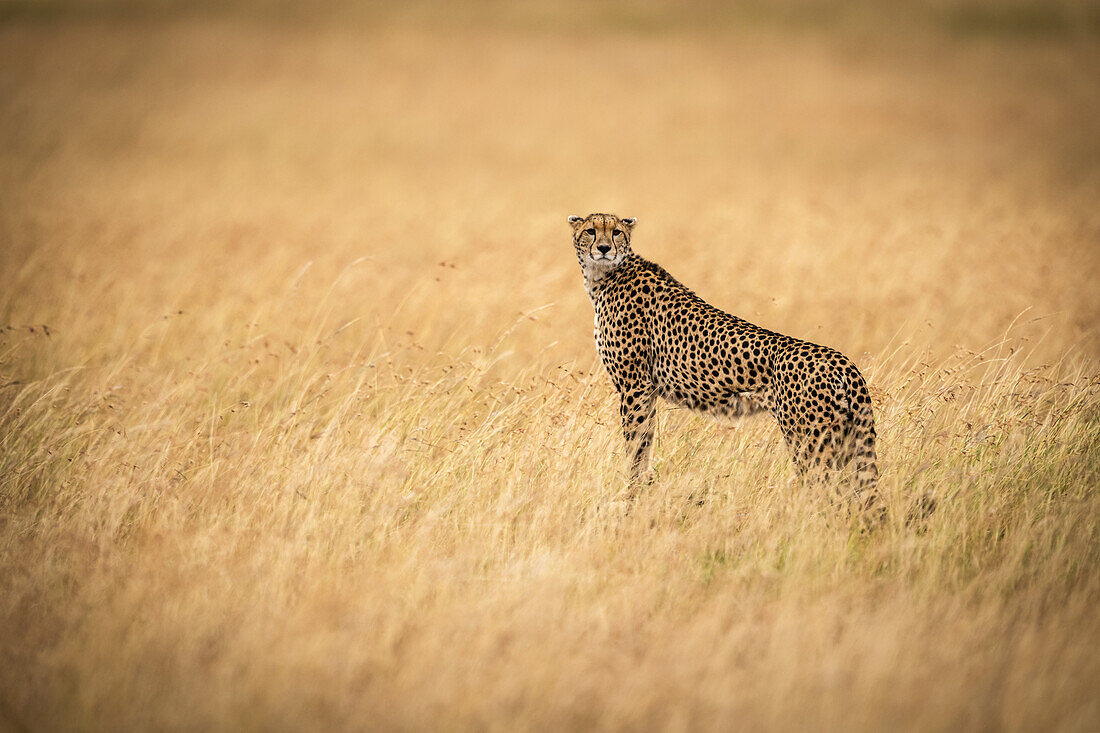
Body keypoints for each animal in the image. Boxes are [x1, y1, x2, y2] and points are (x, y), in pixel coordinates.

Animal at [572, 210, 880, 508]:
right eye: (591, 231)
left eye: (616, 232)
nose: (603, 248)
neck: (605, 275)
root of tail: (842, 360)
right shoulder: (646, 389)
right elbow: (644, 442)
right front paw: (641, 489)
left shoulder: (635, 386)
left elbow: (636, 445)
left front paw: (631, 495)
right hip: (844, 439)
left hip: (810, 441)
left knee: (828, 492)